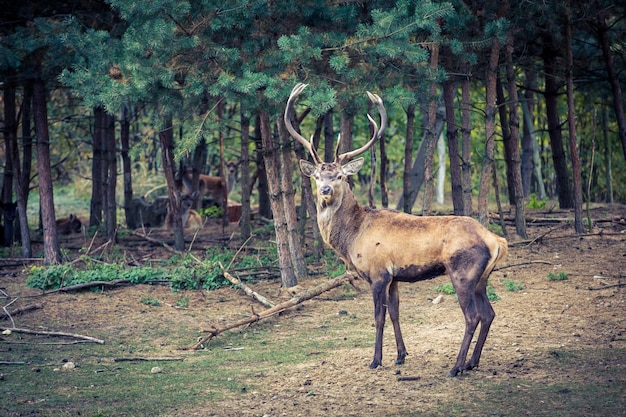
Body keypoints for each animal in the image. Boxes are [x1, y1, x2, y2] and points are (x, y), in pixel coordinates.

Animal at [284, 82, 508, 376]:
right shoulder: (394, 277)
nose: (326, 190)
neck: (353, 236)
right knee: (490, 313)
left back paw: (456, 366)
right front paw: (401, 356)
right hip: (482, 278)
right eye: (318, 176)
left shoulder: (378, 273)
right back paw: (472, 362)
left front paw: (375, 360)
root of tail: (496, 241)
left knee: (473, 316)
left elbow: (378, 318)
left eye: (340, 176)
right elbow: (395, 313)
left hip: (463, 272)